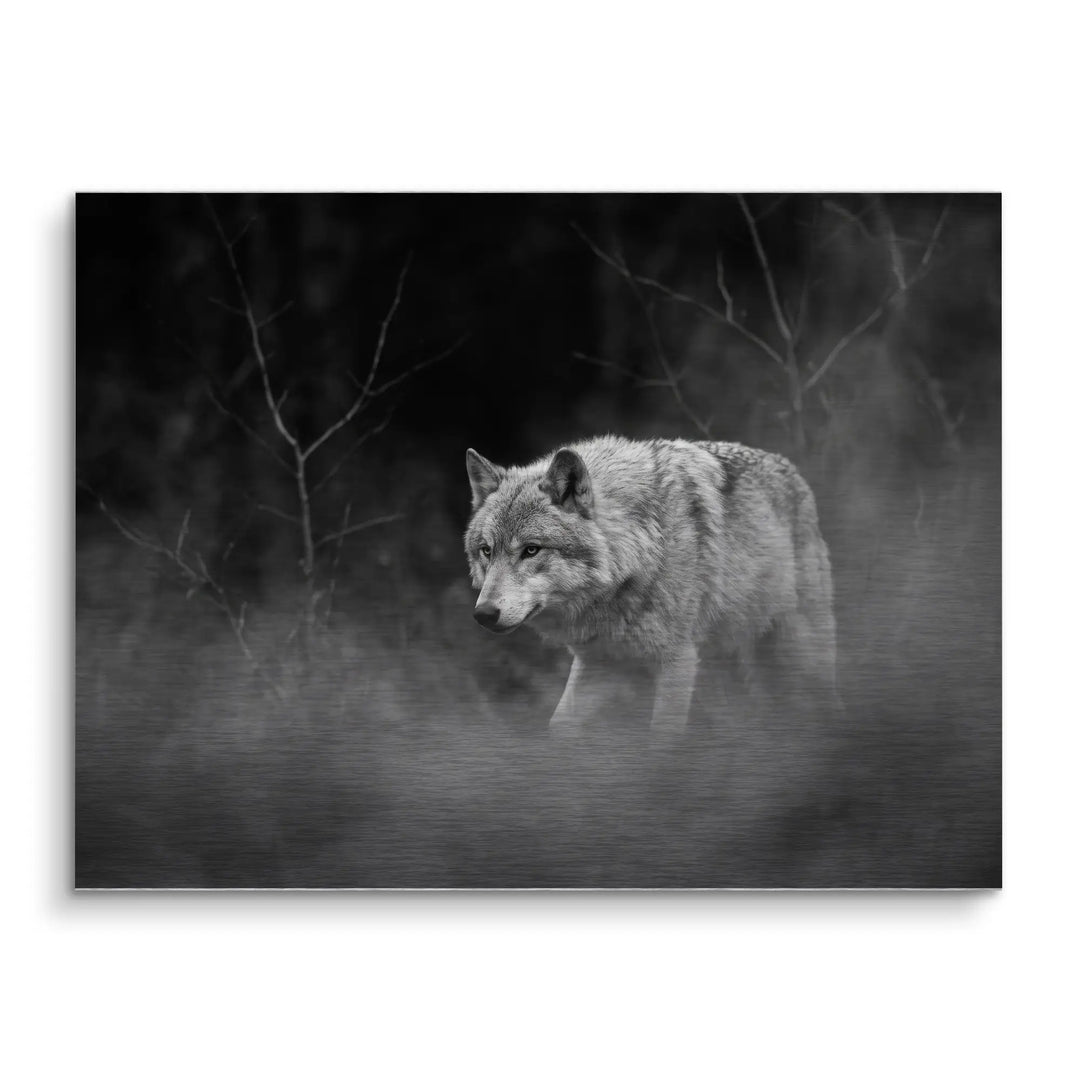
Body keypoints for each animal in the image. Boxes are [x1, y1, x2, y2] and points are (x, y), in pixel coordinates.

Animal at [464, 435, 835, 733]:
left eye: (531, 550)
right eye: (486, 551)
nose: (483, 614)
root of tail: (793, 469)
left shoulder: (678, 662)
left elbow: (662, 740)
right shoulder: (598, 664)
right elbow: (558, 726)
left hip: (801, 651)